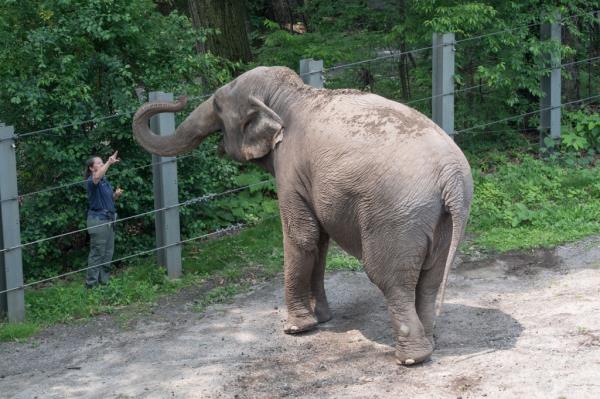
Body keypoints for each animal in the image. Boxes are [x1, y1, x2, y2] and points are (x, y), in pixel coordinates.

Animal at [132, 66, 474, 366]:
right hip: (440, 220)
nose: (180, 97)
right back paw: (430, 341)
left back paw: (411, 358)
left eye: (216, 103)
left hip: (397, 217)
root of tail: (452, 177)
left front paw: (296, 327)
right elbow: (319, 241)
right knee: (430, 280)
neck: (292, 94)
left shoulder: (290, 168)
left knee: (391, 279)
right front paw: (322, 318)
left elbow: (301, 236)